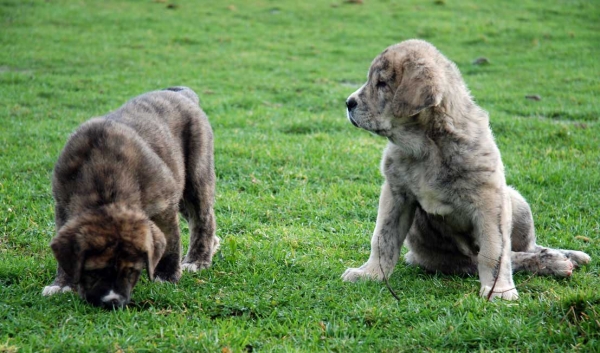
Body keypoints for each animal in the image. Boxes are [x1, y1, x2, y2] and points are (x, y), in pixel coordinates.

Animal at [42, 87, 220, 308]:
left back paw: (197, 260)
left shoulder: (164, 205)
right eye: (93, 272)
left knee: (203, 219)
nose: (112, 302)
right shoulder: (62, 206)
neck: (105, 187)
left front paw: (166, 276)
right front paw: (62, 284)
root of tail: (182, 93)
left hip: (195, 177)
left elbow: (171, 241)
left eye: (131, 271)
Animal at [342, 39, 592, 300]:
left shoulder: (489, 202)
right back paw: (555, 261)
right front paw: (370, 274)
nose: (348, 103)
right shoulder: (396, 193)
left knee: (523, 248)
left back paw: (562, 257)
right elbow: (383, 238)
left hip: (516, 201)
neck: (427, 147)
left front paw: (498, 290)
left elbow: (494, 252)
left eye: (381, 84)